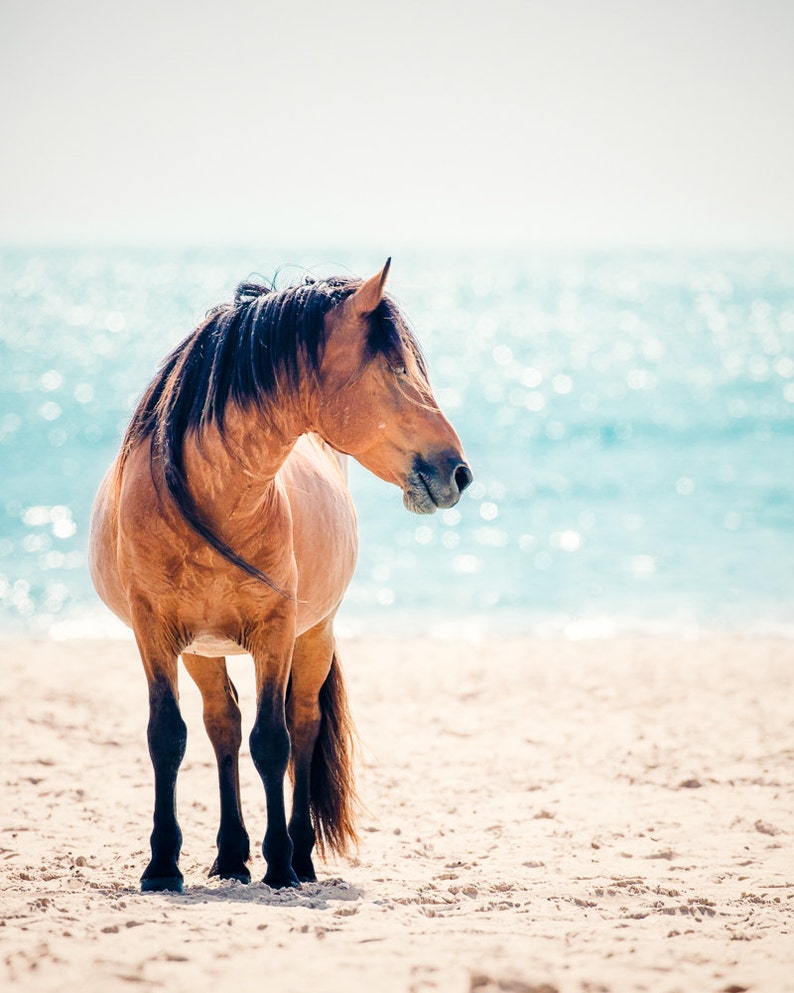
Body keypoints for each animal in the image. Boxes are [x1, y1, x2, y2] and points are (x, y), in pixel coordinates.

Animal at [88, 262, 470, 892]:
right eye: (397, 369)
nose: (459, 472)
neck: (212, 497)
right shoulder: (153, 633)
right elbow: (167, 736)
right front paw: (163, 865)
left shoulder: (276, 630)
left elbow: (273, 741)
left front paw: (282, 864)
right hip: (203, 648)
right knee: (222, 724)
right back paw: (230, 855)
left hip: (313, 636)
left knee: (304, 723)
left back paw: (299, 854)